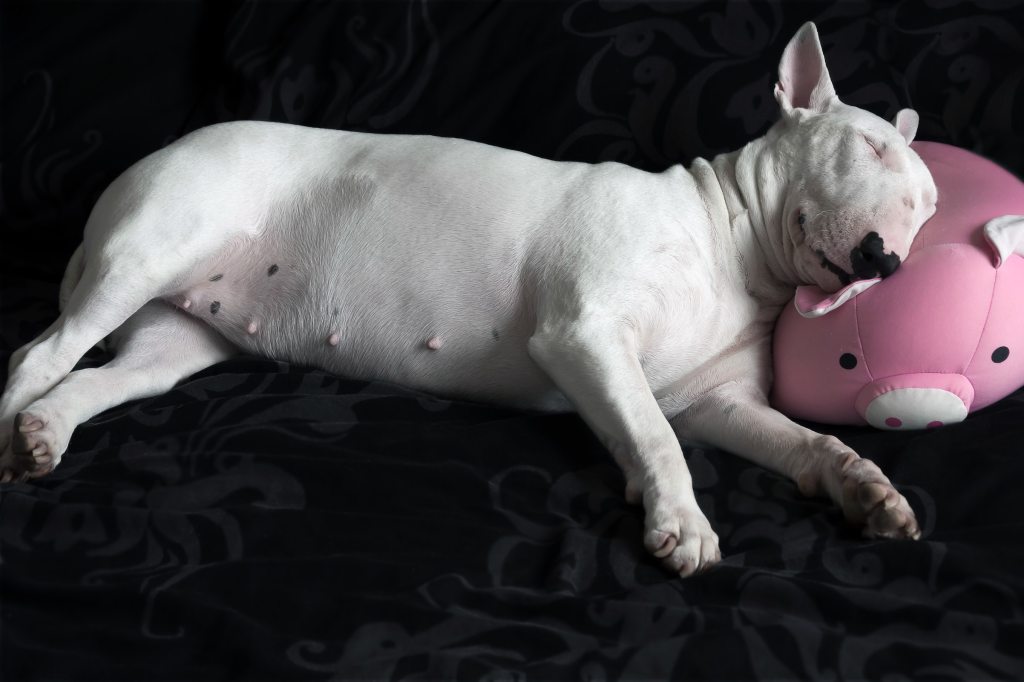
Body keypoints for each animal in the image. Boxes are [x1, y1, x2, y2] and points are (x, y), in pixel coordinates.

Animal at [0, 22, 937, 573]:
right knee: (37, 354)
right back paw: (14, 430)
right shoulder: (585, 334)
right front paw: (681, 519)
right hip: (153, 250)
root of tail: (156, 153)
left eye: (929, 209)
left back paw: (44, 433)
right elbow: (655, 434)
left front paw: (866, 489)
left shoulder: (719, 402)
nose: (887, 261)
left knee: (97, 377)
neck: (729, 247)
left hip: (179, 340)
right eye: (864, 148)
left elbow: (798, 441)